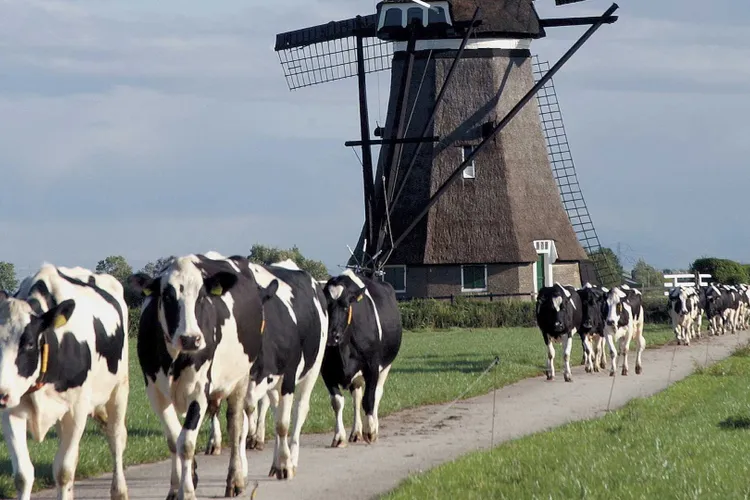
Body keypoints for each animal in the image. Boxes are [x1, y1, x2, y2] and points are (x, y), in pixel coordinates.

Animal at [0, 264, 129, 498]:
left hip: (119, 390)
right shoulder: (12, 411)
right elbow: (23, 476)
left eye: (29, 343)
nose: (1, 393)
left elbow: (63, 472)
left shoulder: (77, 411)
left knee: (116, 438)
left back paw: (119, 491)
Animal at [125, 254, 262, 500]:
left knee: (236, 427)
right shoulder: (155, 392)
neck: (174, 358)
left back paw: (235, 479)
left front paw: (187, 491)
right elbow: (173, 439)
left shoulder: (199, 390)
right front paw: (176, 485)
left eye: (202, 296)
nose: (190, 339)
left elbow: (186, 442)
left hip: (241, 379)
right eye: (167, 296)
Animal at [324, 272, 406, 448]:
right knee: (356, 398)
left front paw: (370, 432)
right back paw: (356, 432)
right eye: (325, 306)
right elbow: (337, 402)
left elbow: (369, 400)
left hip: (386, 366)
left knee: (377, 394)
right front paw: (339, 437)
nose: (332, 336)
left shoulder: (372, 366)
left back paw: (374, 427)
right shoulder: (326, 371)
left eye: (346, 306)